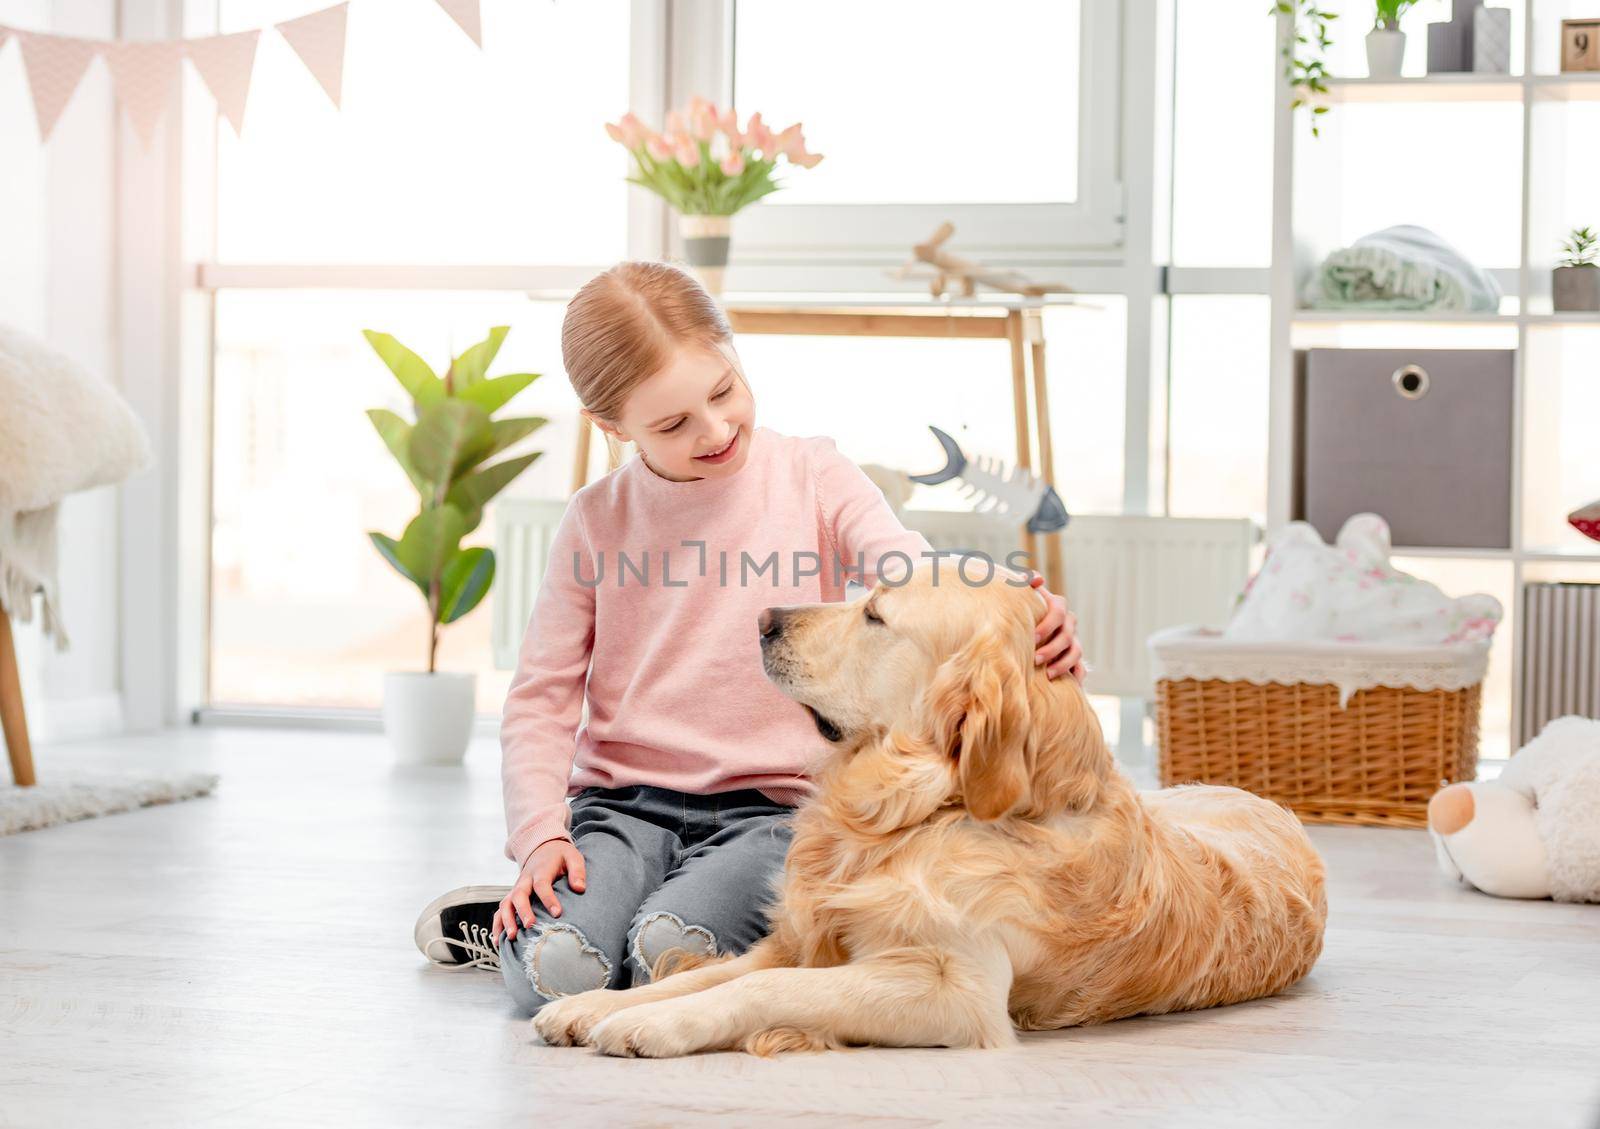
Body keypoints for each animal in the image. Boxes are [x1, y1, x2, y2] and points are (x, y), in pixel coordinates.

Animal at [534, 562, 1324, 1055]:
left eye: (876, 614)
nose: (762, 617)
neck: (921, 810)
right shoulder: (797, 933)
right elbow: (707, 970)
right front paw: (593, 1006)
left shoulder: (955, 988)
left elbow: (770, 984)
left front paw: (660, 1024)